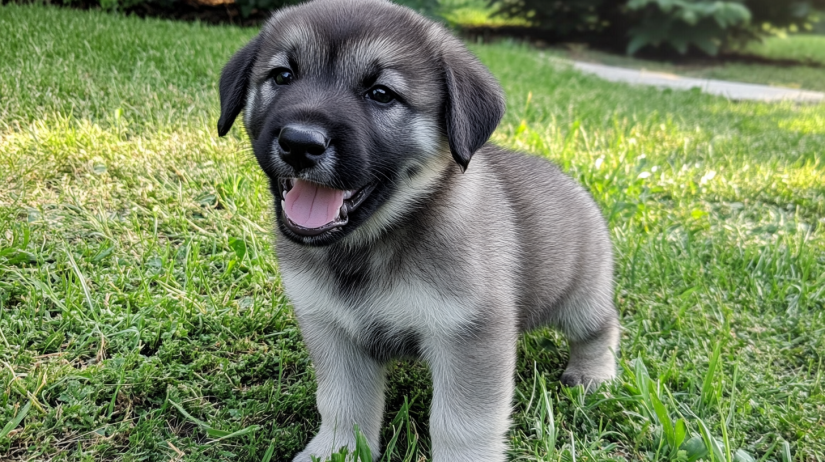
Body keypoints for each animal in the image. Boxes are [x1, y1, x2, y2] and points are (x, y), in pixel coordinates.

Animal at [217, 1, 616, 460]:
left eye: (381, 93)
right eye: (282, 76)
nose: (300, 143)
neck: (370, 244)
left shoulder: (469, 334)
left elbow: (461, 424)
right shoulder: (332, 330)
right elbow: (341, 403)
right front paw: (337, 450)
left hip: (578, 299)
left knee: (601, 326)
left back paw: (593, 373)